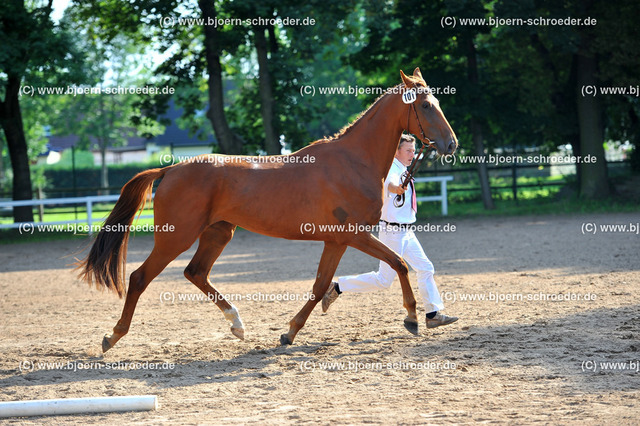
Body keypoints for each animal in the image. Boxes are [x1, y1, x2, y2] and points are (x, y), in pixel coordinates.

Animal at [77, 68, 458, 352]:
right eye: (425, 105)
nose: (451, 144)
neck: (353, 161)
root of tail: (170, 169)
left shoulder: (336, 241)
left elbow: (321, 285)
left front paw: (289, 332)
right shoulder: (353, 235)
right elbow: (399, 263)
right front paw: (412, 319)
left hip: (219, 232)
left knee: (195, 272)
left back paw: (237, 325)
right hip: (176, 237)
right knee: (140, 278)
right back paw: (113, 336)